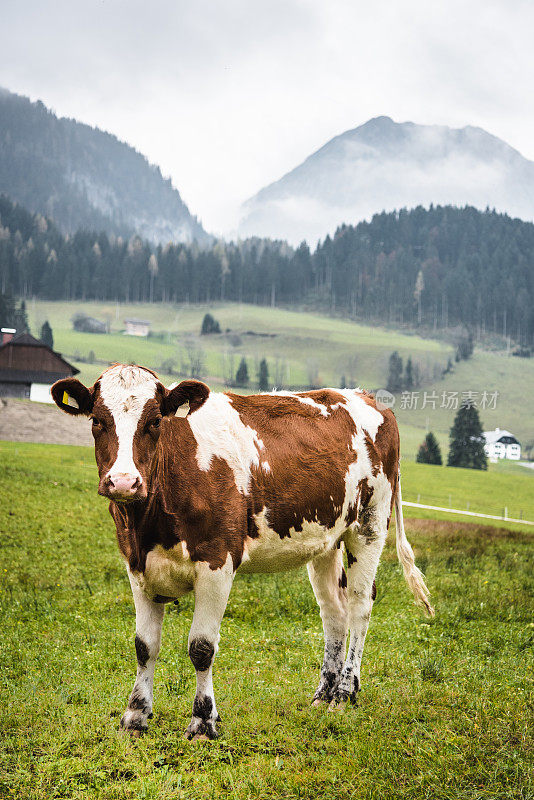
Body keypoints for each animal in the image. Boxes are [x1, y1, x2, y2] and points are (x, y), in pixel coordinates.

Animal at [51, 362, 436, 736]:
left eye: (155, 421)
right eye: (97, 420)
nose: (123, 482)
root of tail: (367, 397)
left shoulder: (217, 562)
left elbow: (201, 647)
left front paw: (203, 721)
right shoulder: (137, 565)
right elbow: (145, 646)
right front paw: (135, 717)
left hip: (369, 525)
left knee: (359, 606)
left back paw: (344, 693)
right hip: (325, 540)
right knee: (333, 611)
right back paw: (323, 694)